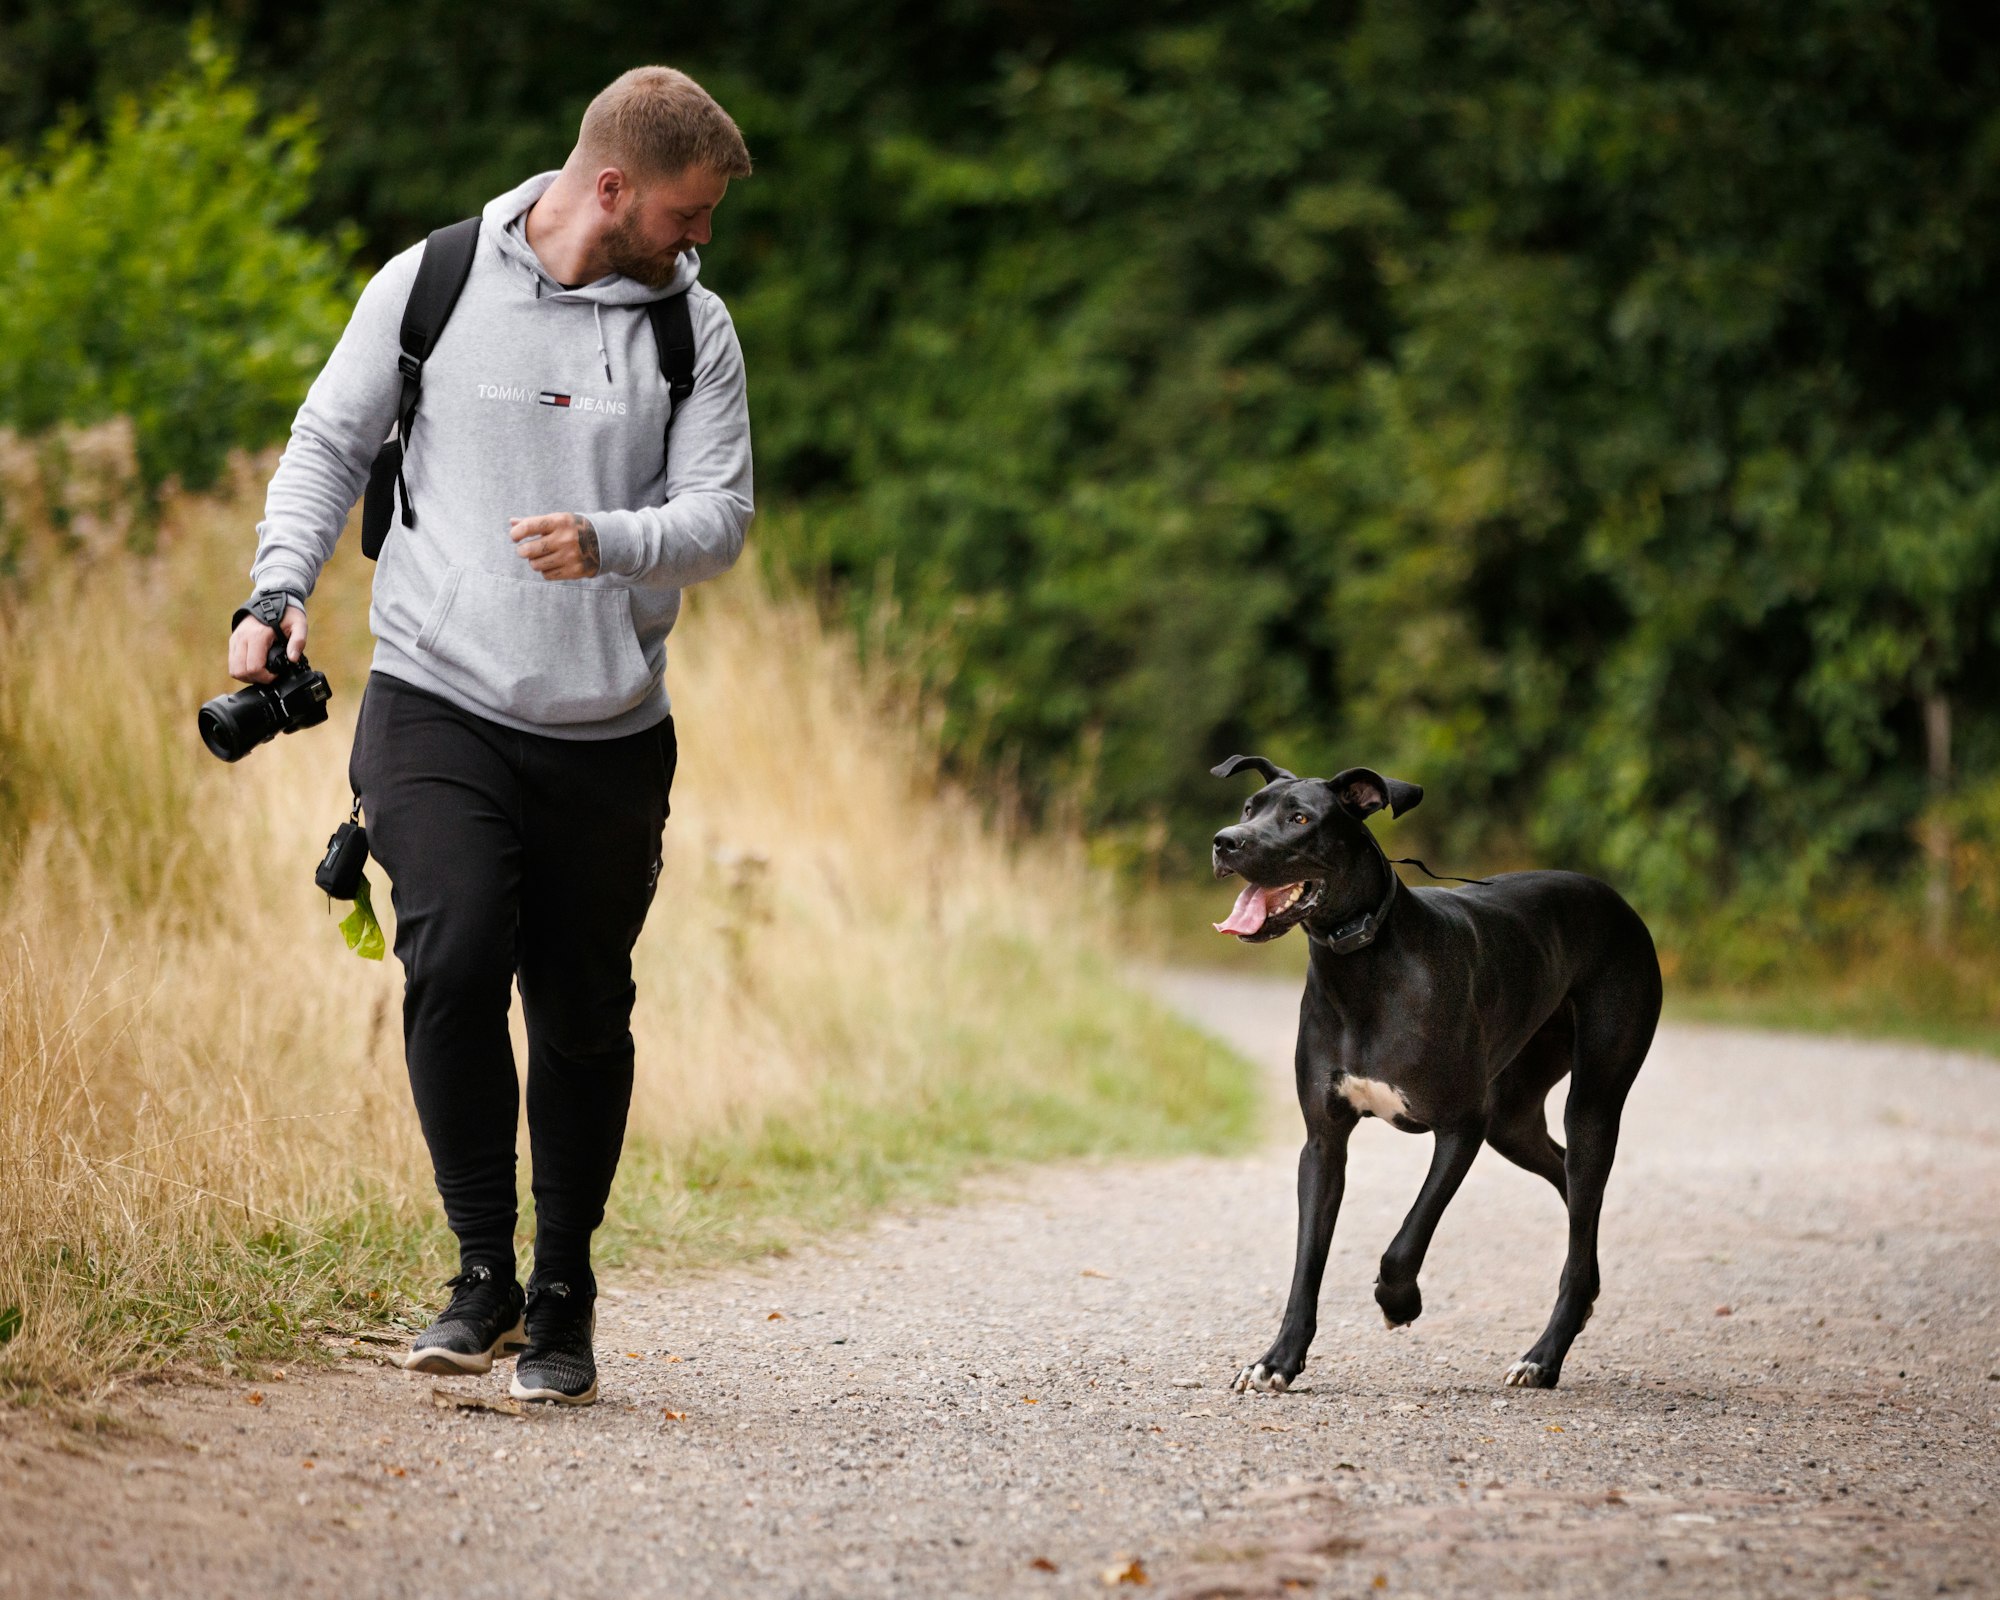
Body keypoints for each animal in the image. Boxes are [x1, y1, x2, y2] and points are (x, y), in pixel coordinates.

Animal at [1208, 752, 1664, 1384]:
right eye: (1248, 808)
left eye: (1300, 818)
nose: (1226, 841)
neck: (1363, 963)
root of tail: (1616, 901)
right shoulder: (1323, 1144)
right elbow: (1307, 1261)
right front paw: (1278, 1359)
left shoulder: (1460, 1128)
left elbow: (1406, 1239)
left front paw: (1399, 1303)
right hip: (1512, 1118)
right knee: (1571, 1188)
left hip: (1591, 1100)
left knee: (1581, 1189)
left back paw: (1544, 1356)